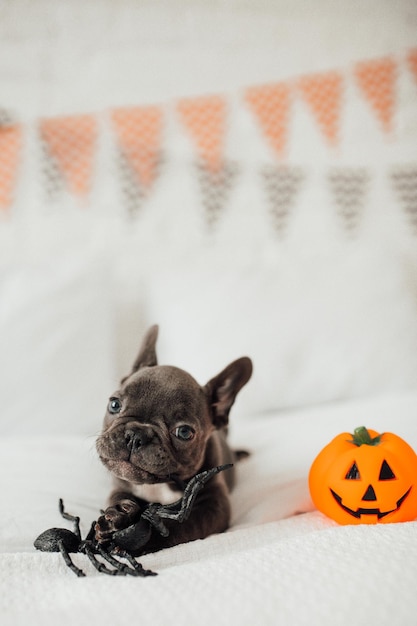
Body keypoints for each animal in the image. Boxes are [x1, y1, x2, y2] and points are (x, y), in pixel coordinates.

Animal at [95, 326, 250, 552]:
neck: (160, 485)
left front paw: (136, 539)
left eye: (184, 432)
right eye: (114, 404)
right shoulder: (120, 486)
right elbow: (118, 499)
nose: (135, 435)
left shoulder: (213, 506)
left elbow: (177, 527)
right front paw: (116, 518)